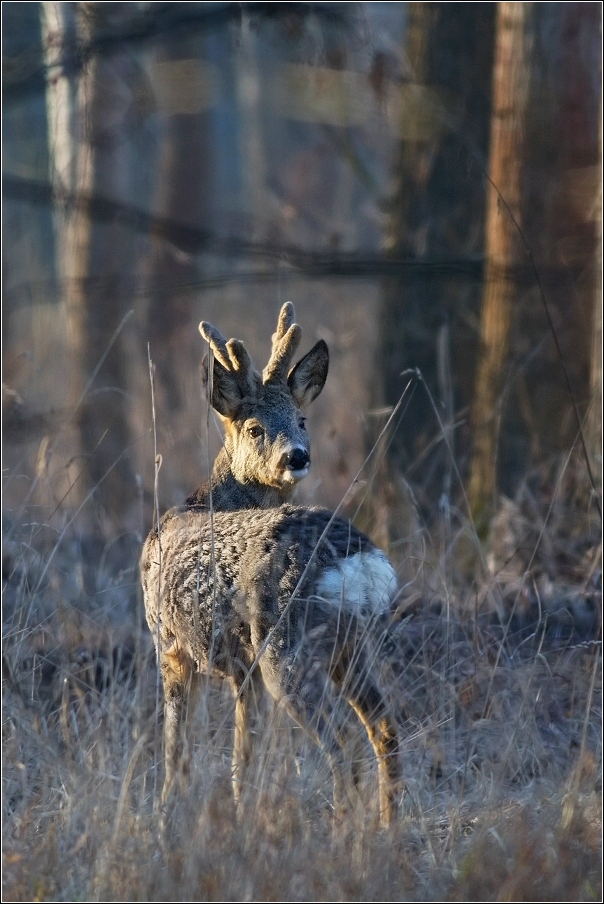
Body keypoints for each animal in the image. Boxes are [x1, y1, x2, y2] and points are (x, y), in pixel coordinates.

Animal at [142, 302, 402, 828]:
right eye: (254, 427)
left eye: (302, 418)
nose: (297, 456)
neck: (205, 501)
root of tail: (358, 563)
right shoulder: (243, 670)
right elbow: (246, 755)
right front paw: (242, 813)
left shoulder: (171, 646)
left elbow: (177, 750)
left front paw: (165, 818)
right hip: (355, 644)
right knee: (384, 729)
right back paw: (390, 829)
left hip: (286, 649)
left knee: (343, 740)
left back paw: (344, 833)